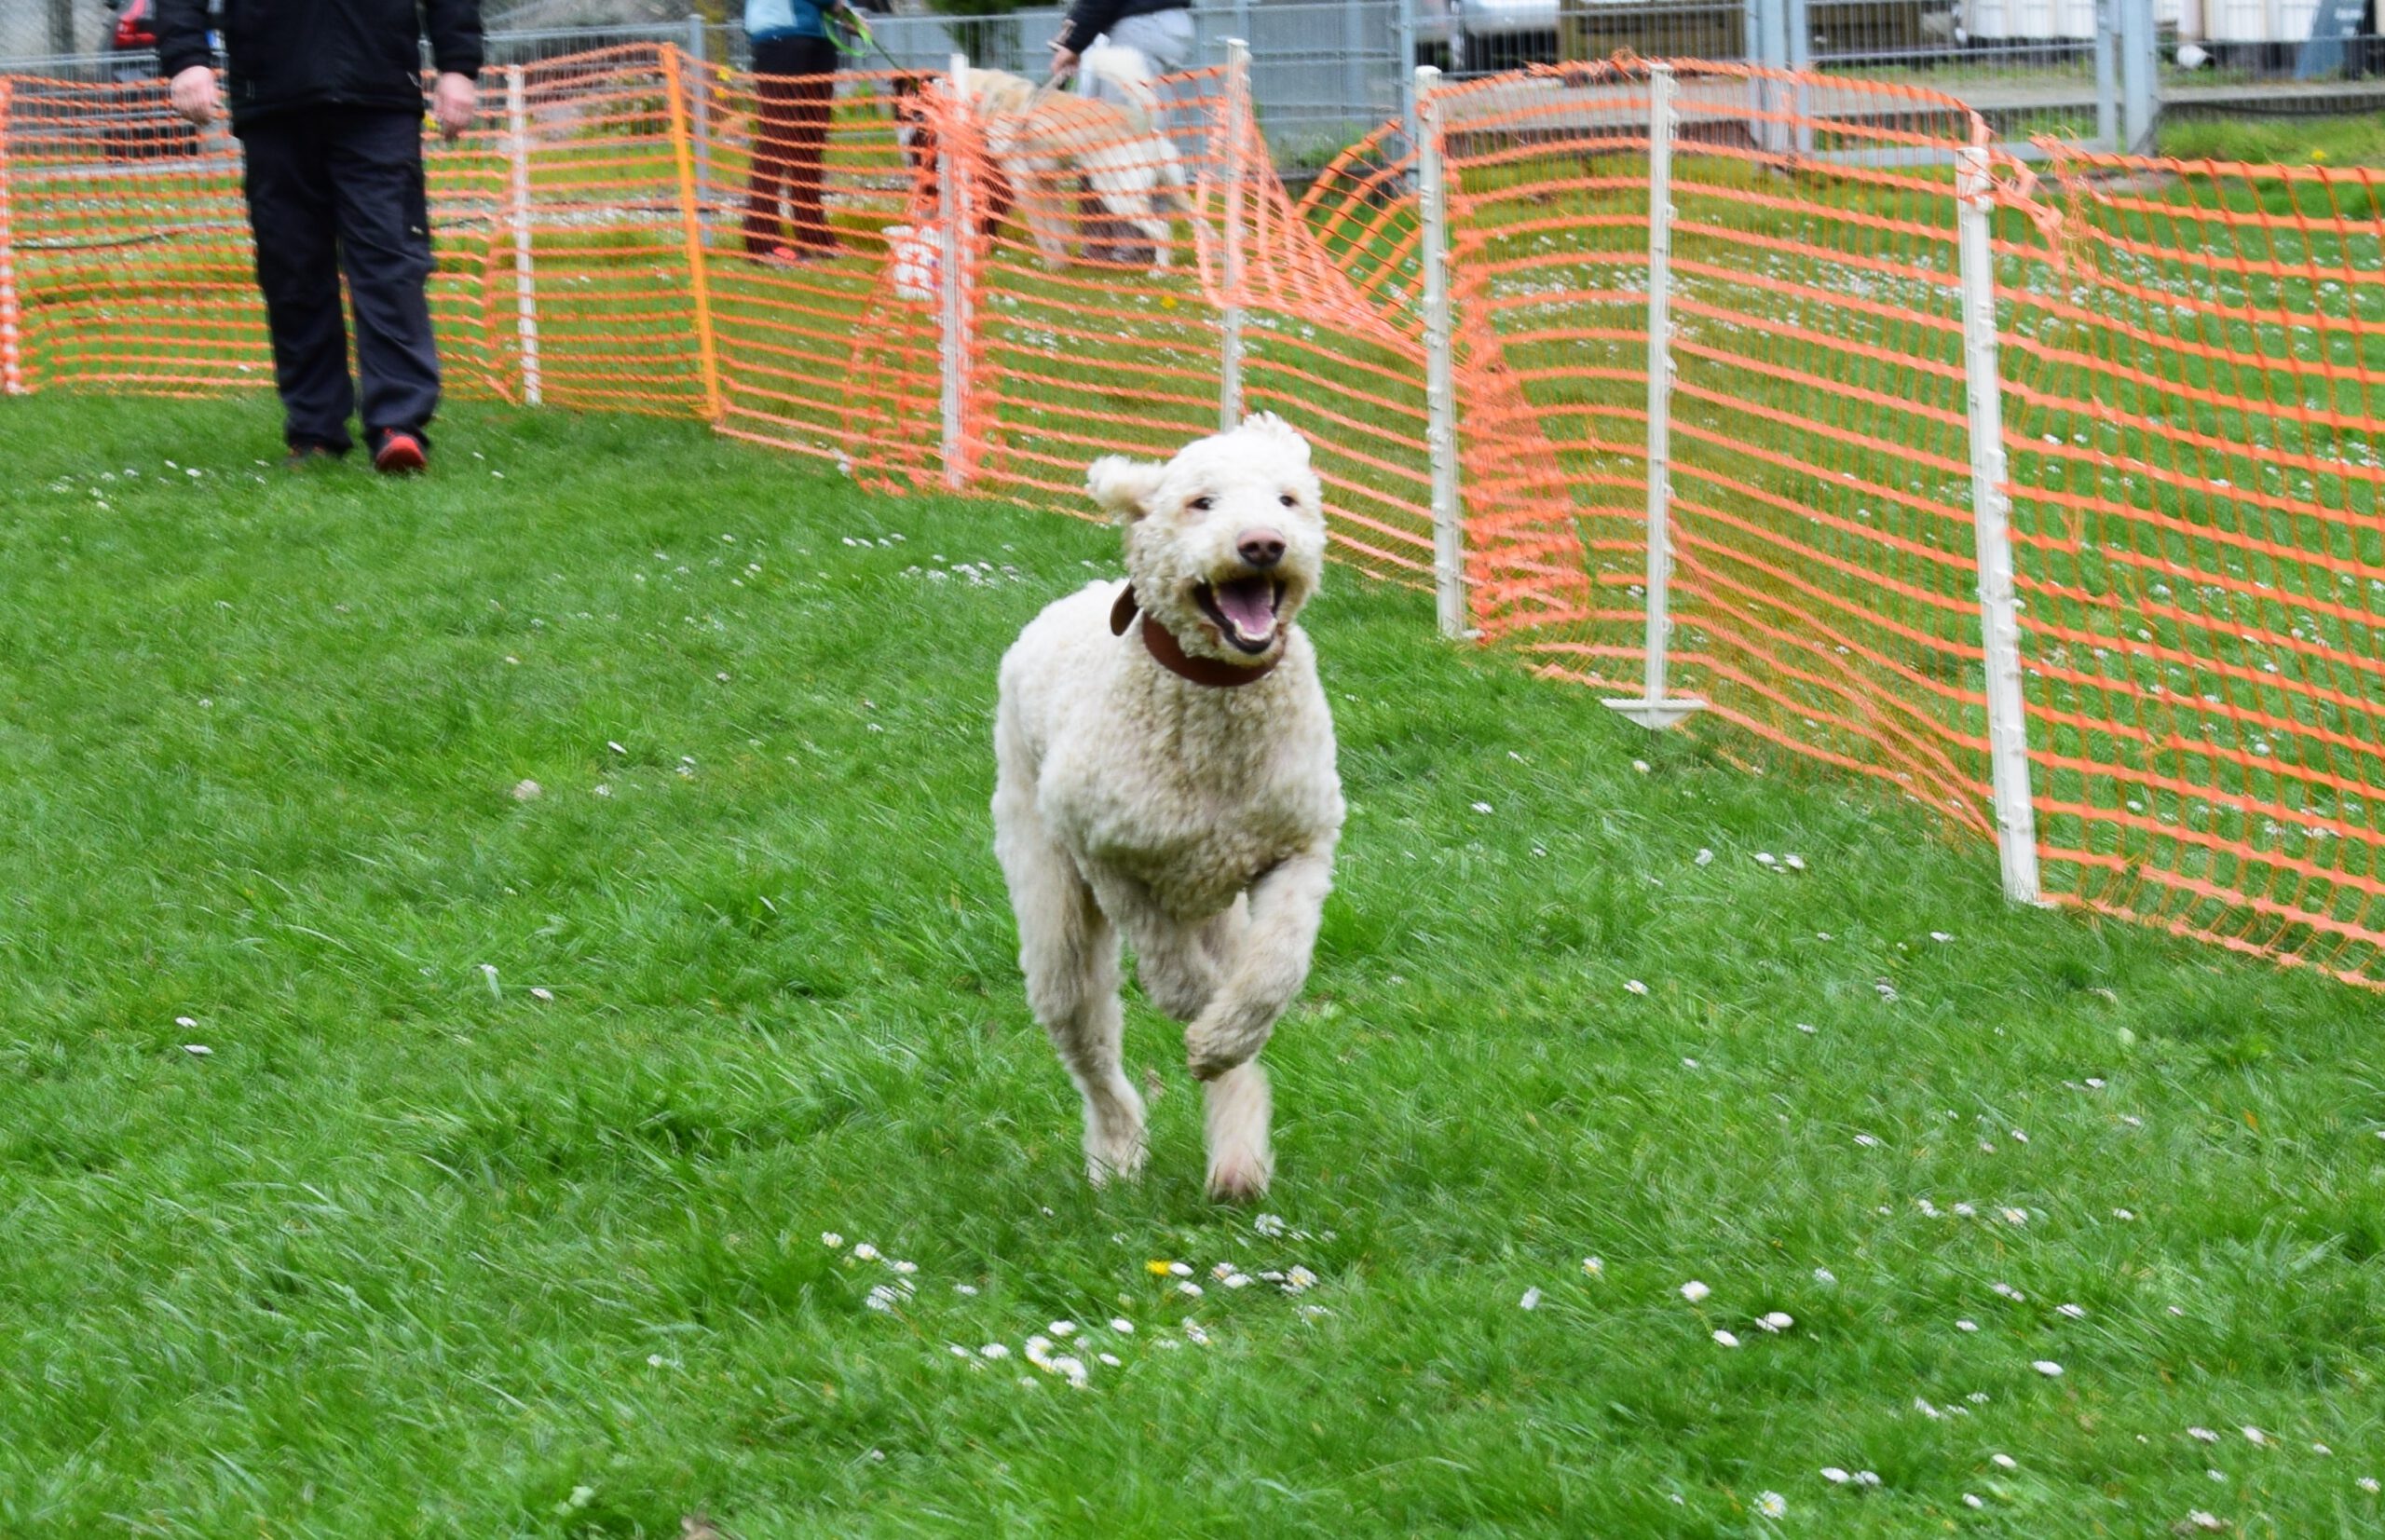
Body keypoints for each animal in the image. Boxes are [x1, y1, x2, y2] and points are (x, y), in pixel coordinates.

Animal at [992, 416, 1344, 1200]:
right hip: (1053, 908)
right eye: (1201, 501)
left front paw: (1222, 1035)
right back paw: (1117, 1152)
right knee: (1088, 1037)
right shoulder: (1109, 855)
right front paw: (1197, 1010)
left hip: (1220, 901)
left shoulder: (1299, 846)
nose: (1263, 544)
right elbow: (1172, 967)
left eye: (1288, 498)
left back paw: (1237, 1157)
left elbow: (1274, 971)